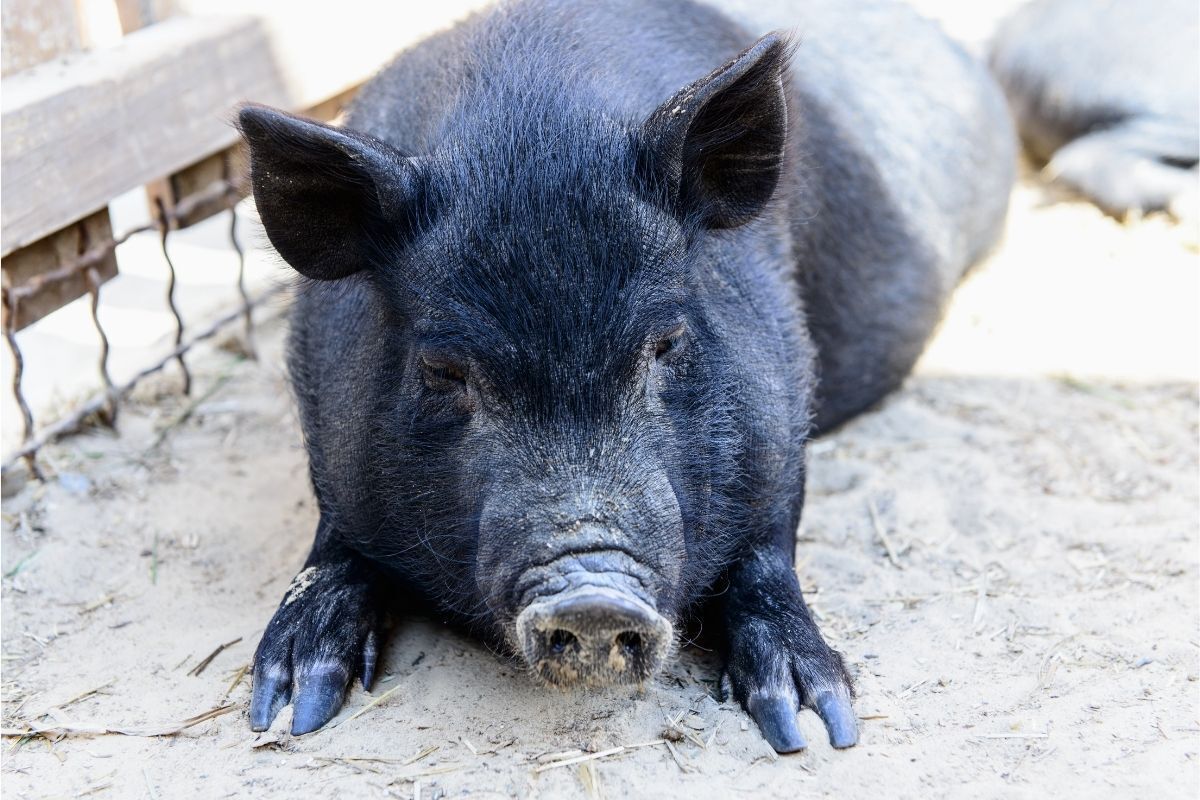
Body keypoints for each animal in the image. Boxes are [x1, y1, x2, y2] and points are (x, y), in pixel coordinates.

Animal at [238, 0, 1017, 758]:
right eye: (442, 369)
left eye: (666, 343)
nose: (592, 598)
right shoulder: (329, 433)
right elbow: (332, 549)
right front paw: (288, 709)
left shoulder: (783, 403)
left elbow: (770, 550)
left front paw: (813, 725)